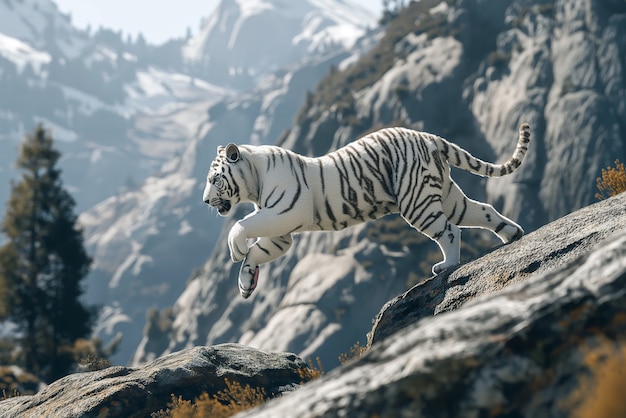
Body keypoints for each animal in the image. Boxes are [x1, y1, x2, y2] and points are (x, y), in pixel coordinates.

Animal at [202, 122, 528, 298]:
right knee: (481, 210)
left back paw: (447, 265)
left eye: (215, 179)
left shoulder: (285, 211)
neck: (254, 179)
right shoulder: (280, 231)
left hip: (416, 200)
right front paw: (246, 284)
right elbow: (258, 252)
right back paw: (512, 234)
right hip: (446, 195)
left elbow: (242, 225)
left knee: (449, 230)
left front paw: (235, 247)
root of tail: (429, 136)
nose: (205, 201)